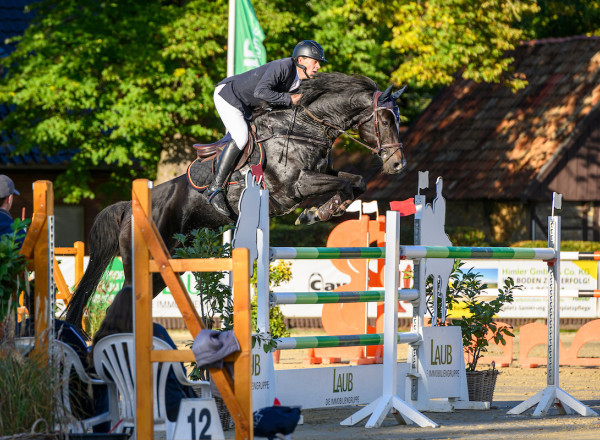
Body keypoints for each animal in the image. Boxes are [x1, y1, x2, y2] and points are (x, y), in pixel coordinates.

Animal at [64, 71, 408, 330]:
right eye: (385, 120)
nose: (397, 165)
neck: (305, 127)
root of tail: (129, 208)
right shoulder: (296, 186)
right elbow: (344, 183)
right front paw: (314, 213)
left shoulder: (321, 174)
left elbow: (356, 182)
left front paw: (320, 212)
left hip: (167, 267)